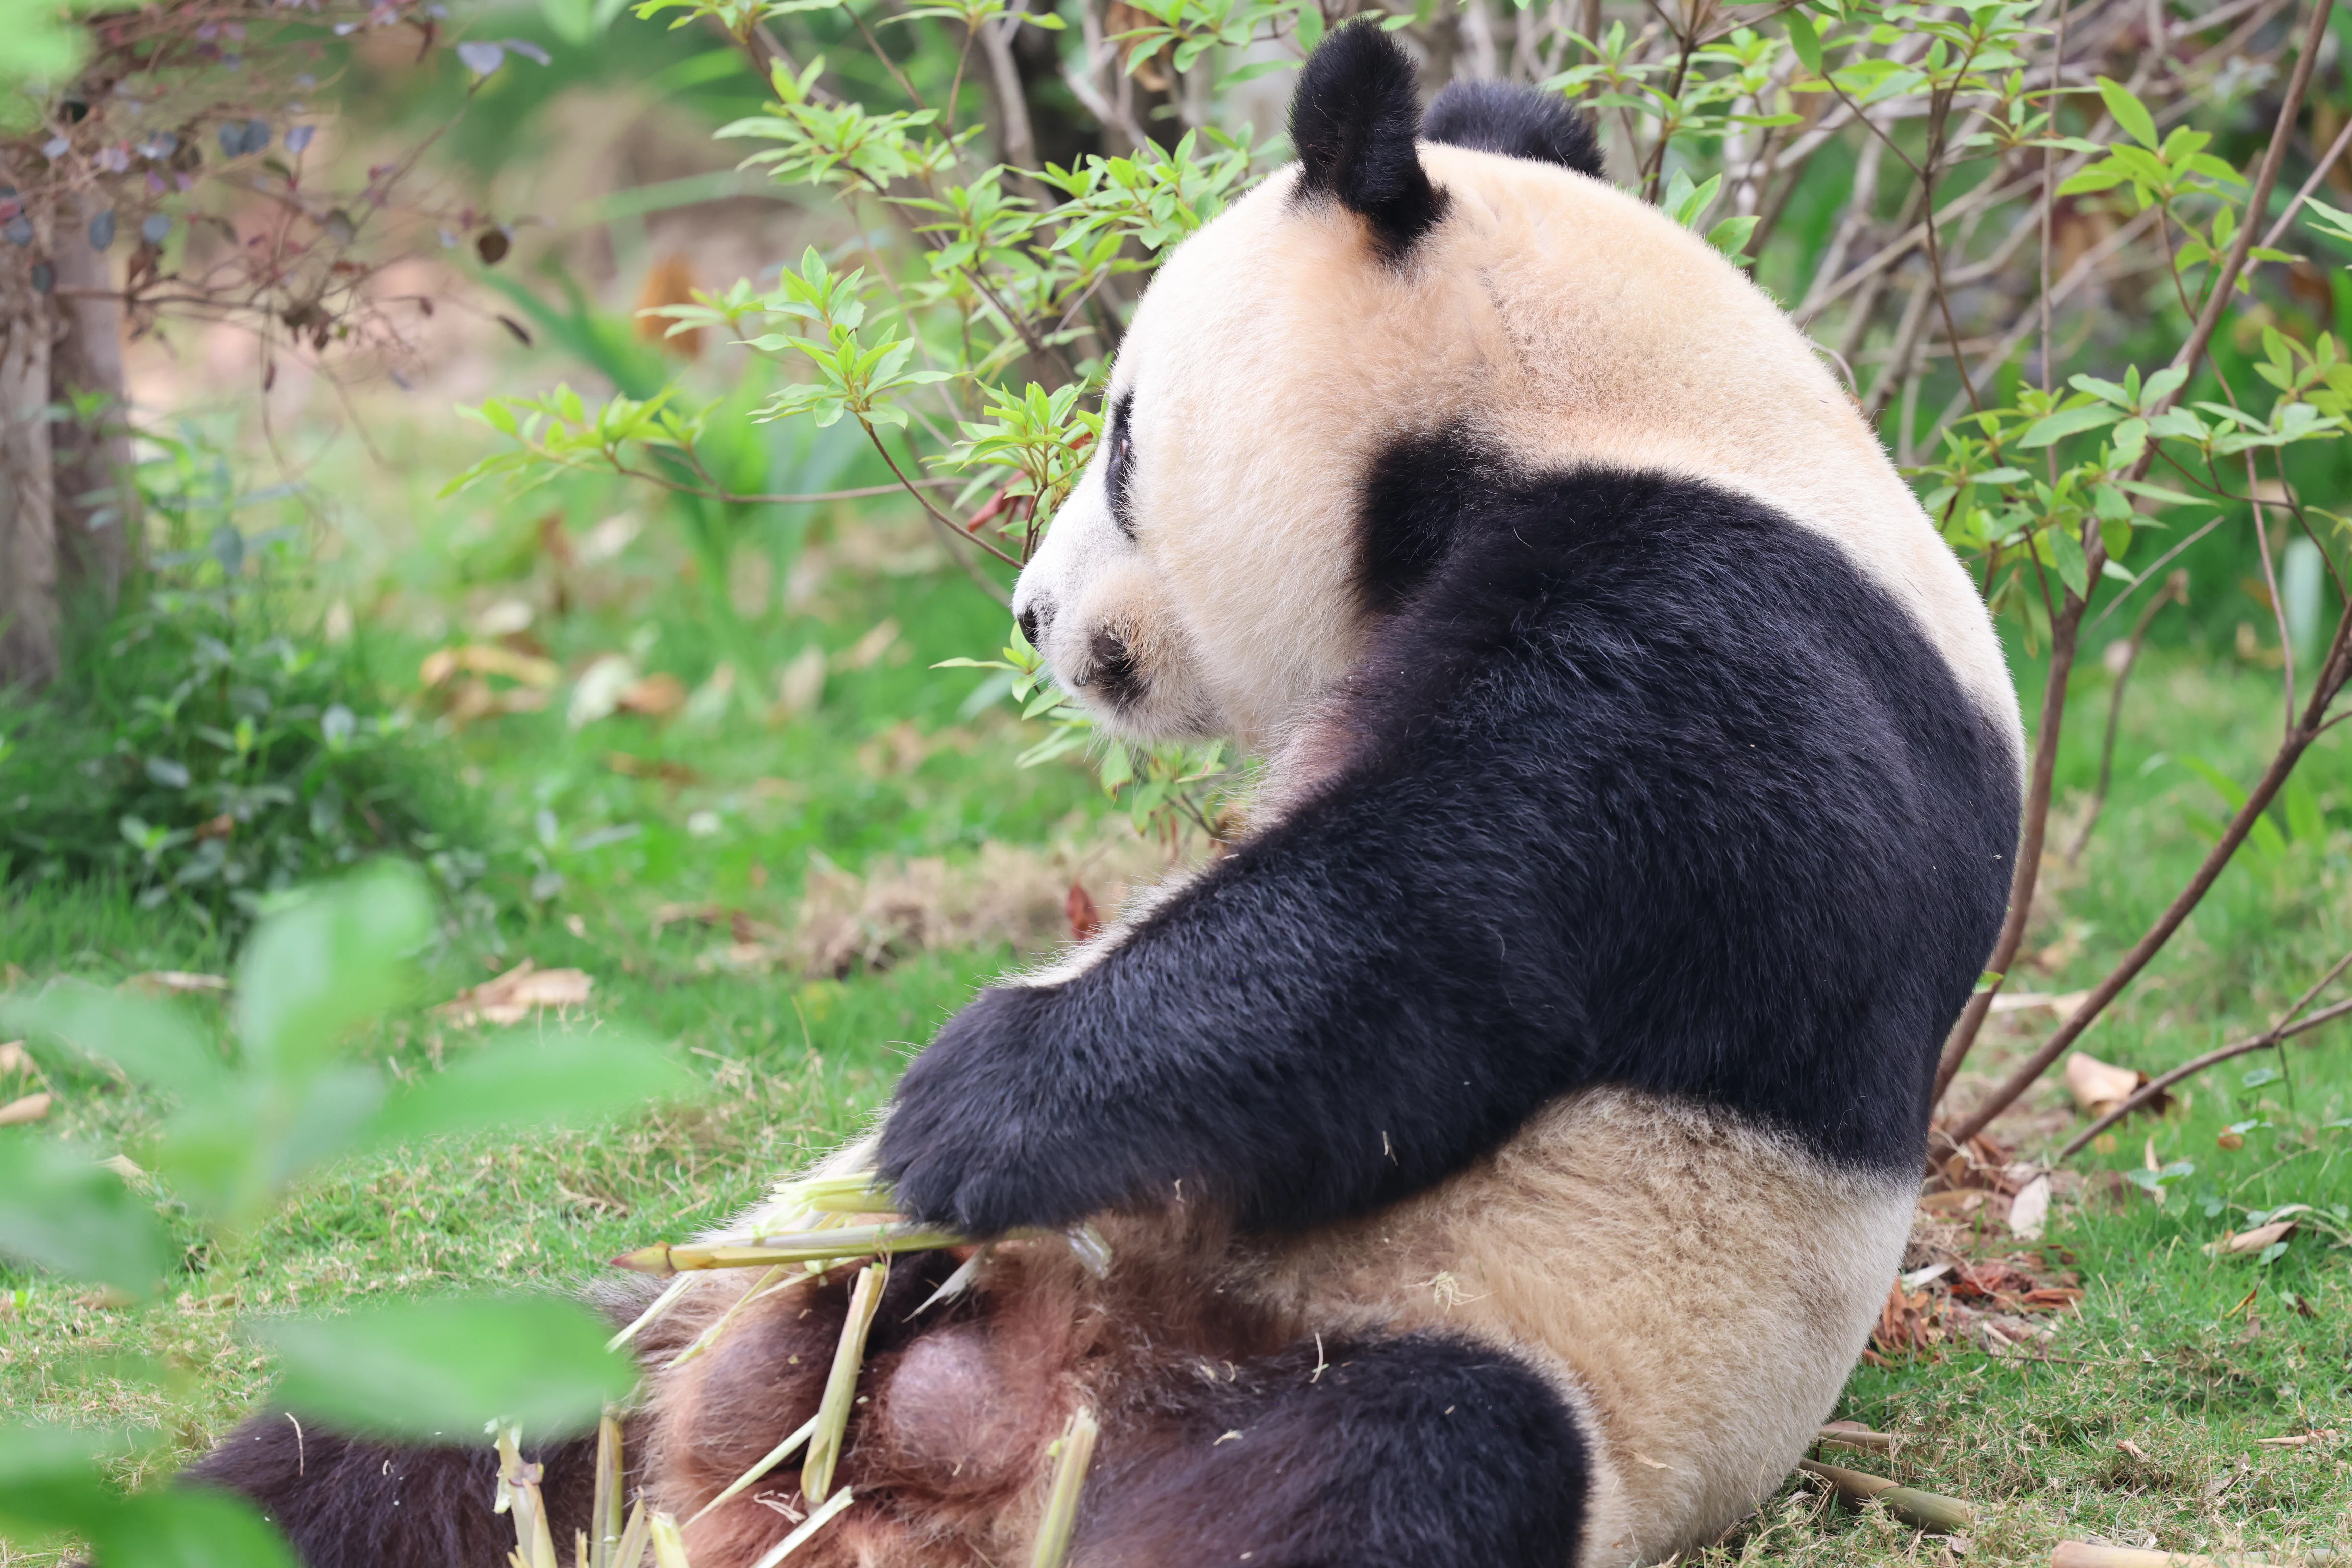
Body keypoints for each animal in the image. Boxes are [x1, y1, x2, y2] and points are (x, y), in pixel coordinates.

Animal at [190, 23, 2022, 1568]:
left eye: (1127, 438)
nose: (1031, 615)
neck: (1626, 401)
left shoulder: (1727, 641)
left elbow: (1436, 933)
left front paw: (963, 1106)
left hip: (1461, 1349)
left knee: (1400, 1466)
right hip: (667, 1329)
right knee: (412, 1420)